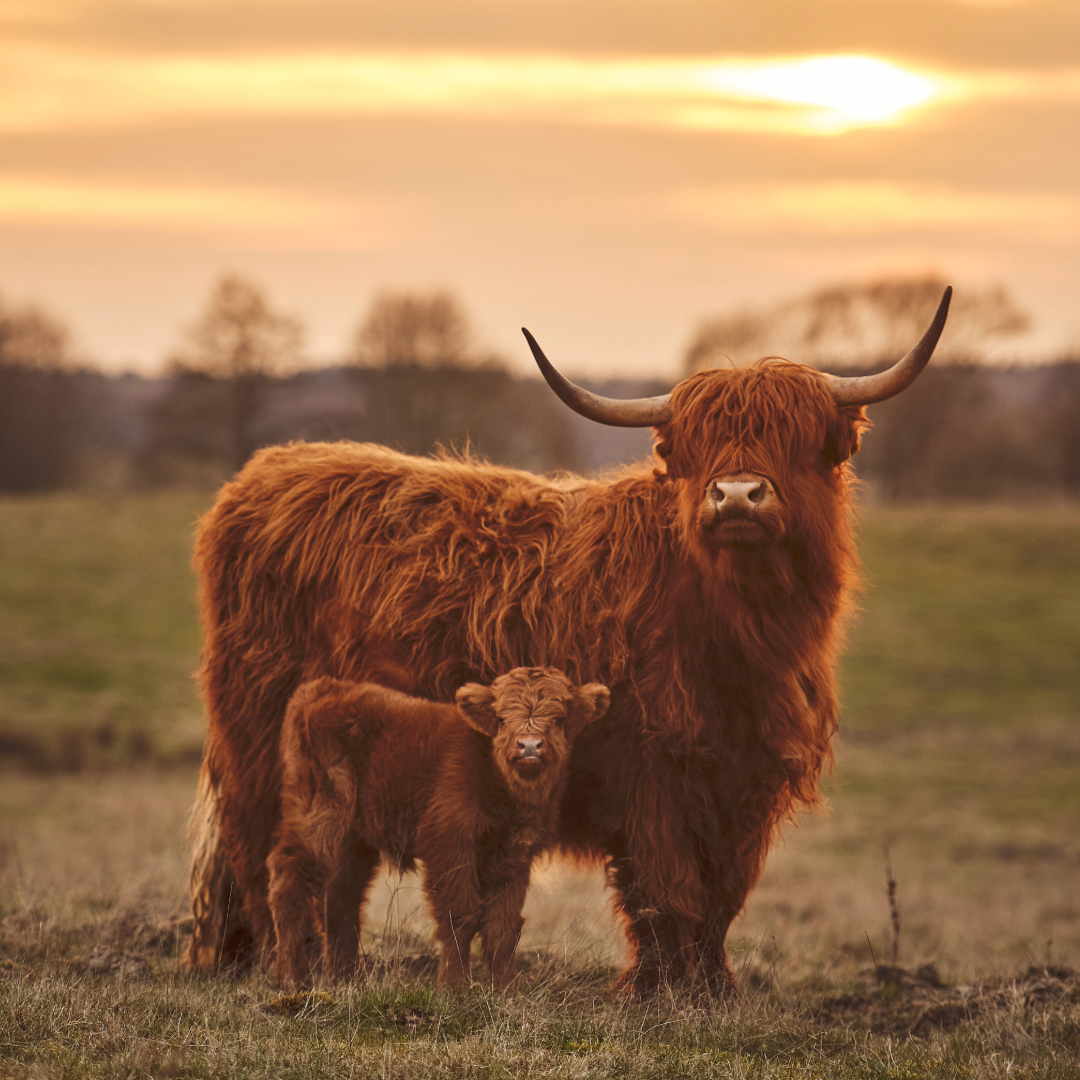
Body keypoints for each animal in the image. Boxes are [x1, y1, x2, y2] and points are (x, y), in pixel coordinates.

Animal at [266, 665, 613, 989]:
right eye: (501, 719)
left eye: (559, 719)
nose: (529, 746)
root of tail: (322, 689)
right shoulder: (451, 846)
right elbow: (460, 916)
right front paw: (453, 986)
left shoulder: (515, 855)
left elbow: (502, 926)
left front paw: (506, 989)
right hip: (319, 815)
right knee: (289, 883)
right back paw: (294, 980)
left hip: (353, 840)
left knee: (341, 897)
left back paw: (346, 978)